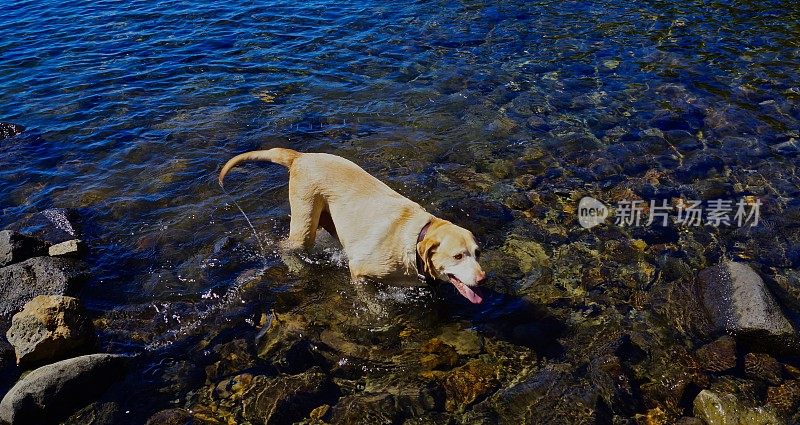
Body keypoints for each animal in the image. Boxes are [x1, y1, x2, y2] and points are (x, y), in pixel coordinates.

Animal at [216, 147, 484, 304]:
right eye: (458, 256)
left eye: (477, 253)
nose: (482, 279)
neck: (414, 239)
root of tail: (301, 157)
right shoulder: (359, 271)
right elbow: (370, 300)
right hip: (304, 224)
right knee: (286, 246)